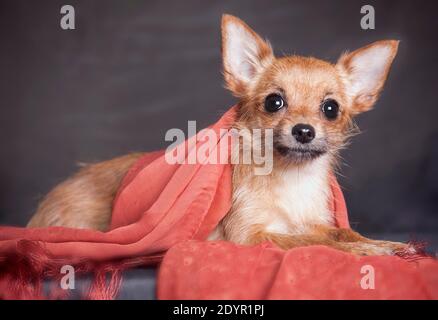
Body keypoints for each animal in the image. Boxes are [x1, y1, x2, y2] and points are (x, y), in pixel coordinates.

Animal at [29, 14, 416, 255]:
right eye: (274, 102)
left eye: (331, 109)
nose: (304, 131)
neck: (289, 179)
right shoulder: (252, 235)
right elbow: (309, 242)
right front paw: (367, 250)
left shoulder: (311, 221)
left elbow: (336, 232)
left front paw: (376, 242)